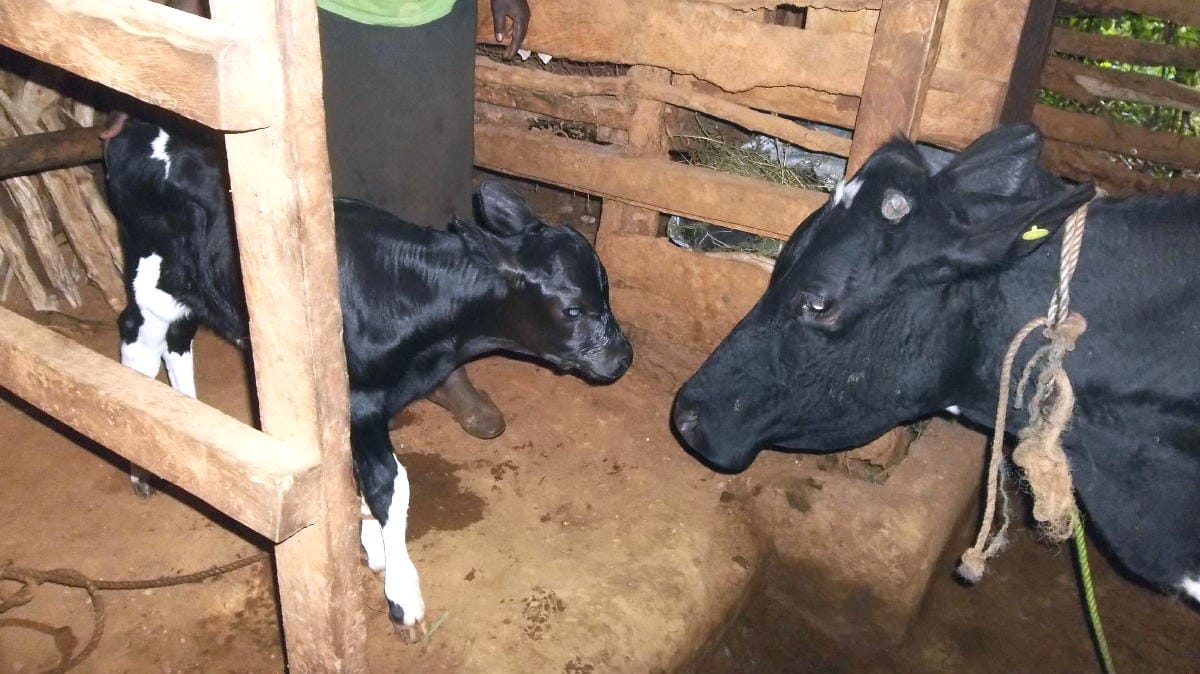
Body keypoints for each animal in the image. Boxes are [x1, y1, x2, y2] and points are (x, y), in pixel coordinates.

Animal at [104, 115, 634, 636]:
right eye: (573, 309)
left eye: (606, 291)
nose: (624, 357)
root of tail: (139, 129)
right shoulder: (358, 400)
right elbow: (390, 485)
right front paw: (402, 594)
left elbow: (362, 477)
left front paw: (371, 541)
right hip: (151, 282)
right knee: (137, 346)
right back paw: (143, 464)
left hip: (193, 289)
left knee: (178, 342)